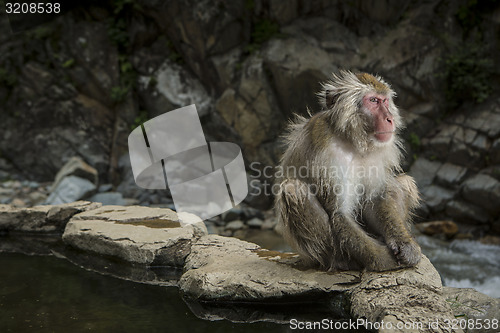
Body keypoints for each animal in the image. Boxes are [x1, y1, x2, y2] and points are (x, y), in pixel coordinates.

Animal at [276, 70, 420, 270]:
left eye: (384, 101)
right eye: (373, 101)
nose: (389, 118)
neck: (352, 140)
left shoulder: (378, 154)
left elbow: (376, 199)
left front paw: (405, 245)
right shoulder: (329, 157)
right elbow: (340, 214)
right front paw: (385, 260)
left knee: (403, 182)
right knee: (293, 189)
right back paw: (340, 260)